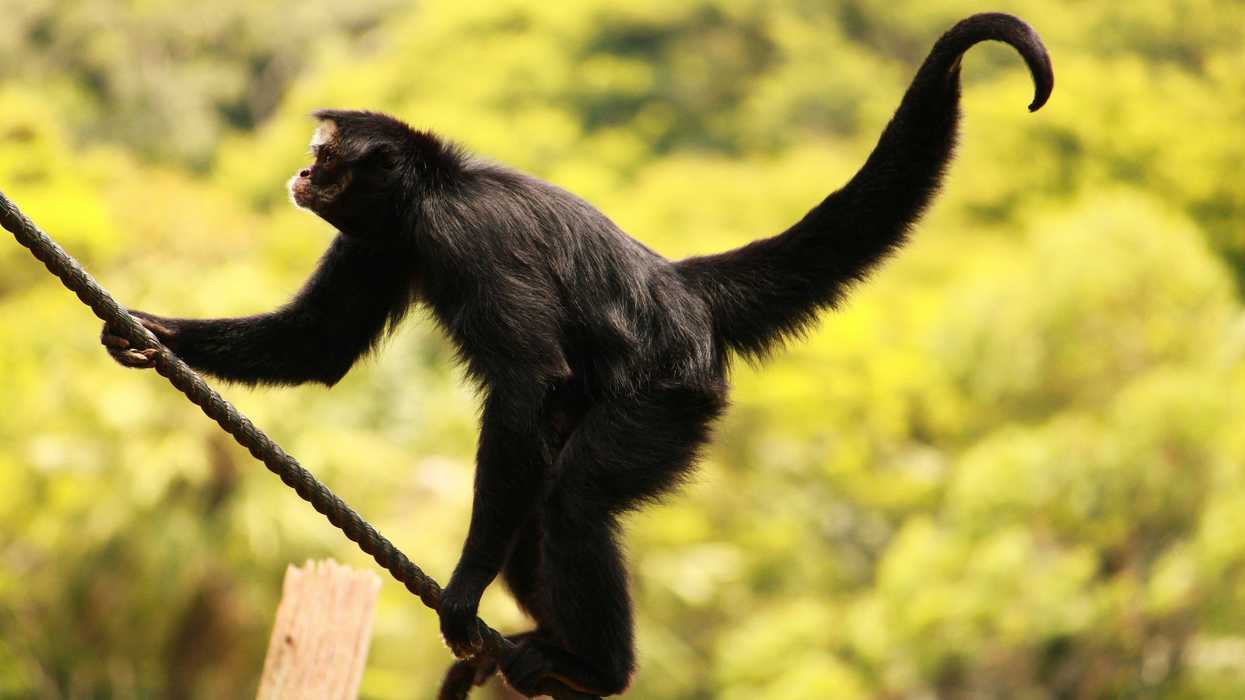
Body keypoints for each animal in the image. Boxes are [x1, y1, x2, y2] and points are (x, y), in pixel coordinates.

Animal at [100, 13, 1052, 698]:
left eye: (325, 156)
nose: (302, 173)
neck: (436, 189)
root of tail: (678, 288)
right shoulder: (389, 240)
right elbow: (321, 345)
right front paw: (145, 333)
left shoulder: (463, 236)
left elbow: (526, 382)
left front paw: (464, 591)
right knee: (539, 507)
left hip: (669, 398)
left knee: (571, 498)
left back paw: (594, 669)